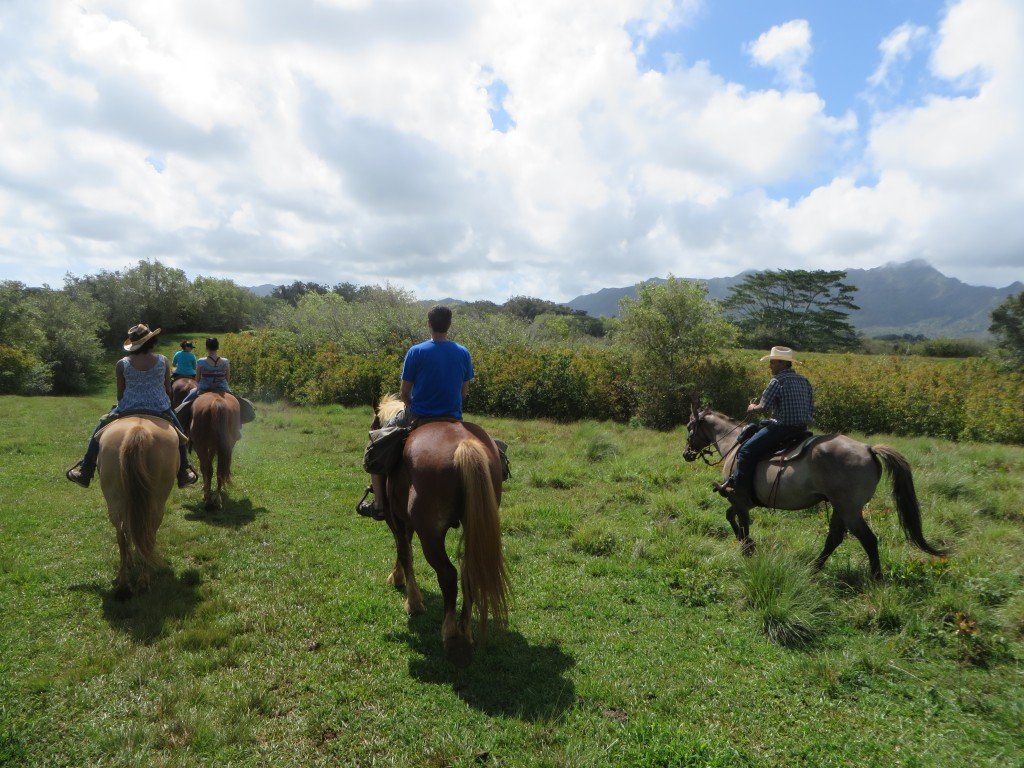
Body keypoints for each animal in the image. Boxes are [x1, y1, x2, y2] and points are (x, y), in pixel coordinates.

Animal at [96, 415, 179, 602]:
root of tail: (138, 430)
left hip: (116, 501)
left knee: (123, 534)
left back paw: (125, 584)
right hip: (156, 503)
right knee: (145, 535)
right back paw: (141, 581)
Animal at [372, 397, 507, 667]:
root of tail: (464, 446)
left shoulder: (396, 518)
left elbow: (404, 551)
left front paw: (412, 600)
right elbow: (404, 549)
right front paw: (399, 579)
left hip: (431, 535)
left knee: (448, 574)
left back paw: (450, 633)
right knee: (468, 571)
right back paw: (465, 631)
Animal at [679, 409, 942, 577]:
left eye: (690, 427)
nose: (686, 454)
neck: (735, 443)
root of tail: (869, 449)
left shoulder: (740, 499)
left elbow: (737, 520)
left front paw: (747, 547)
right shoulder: (744, 502)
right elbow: (731, 517)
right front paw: (746, 544)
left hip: (850, 510)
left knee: (868, 540)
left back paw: (876, 577)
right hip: (840, 508)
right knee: (834, 539)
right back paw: (814, 568)